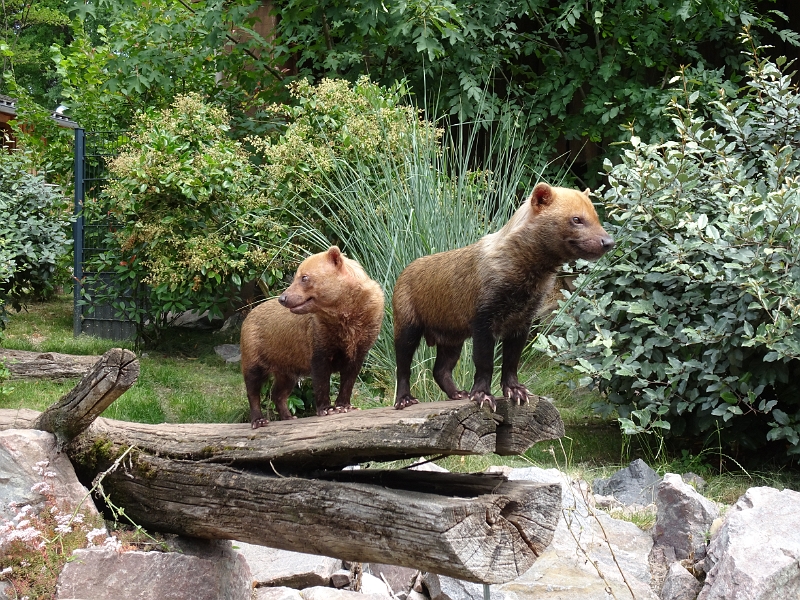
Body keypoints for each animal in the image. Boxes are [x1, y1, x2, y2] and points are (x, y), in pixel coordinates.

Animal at [241, 246, 384, 428]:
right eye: (296, 275)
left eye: (304, 277)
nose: (283, 298)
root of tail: (249, 314)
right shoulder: (319, 341)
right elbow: (321, 379)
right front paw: (328, 409)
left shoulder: (360, 346)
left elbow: (349, 379)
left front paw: (345, 406)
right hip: (254, 351)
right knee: (253, 387)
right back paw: (259, 420)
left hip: (286, 363)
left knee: (278, 391)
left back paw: (289, 416)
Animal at [392, 180, 612, 410]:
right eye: (576, 219)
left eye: (595, 215)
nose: (608, 241)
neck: (523, 285)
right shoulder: (483, 320)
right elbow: (484, 361)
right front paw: (482, 395)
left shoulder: (522, 321)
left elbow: (511, 361)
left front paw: (516, 391)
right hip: (406, 326)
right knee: (403, 367)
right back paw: (404, 399)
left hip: (451, 338)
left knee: (440, 370)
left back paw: (458, 393)